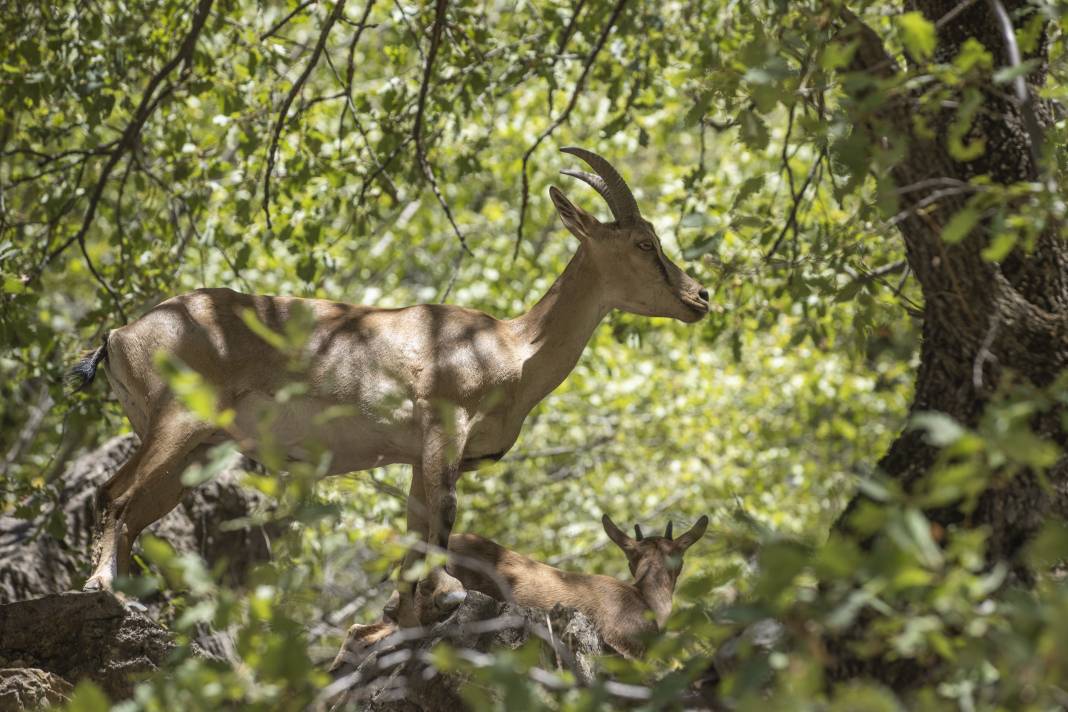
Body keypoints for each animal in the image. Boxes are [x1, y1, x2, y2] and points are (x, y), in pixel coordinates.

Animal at [68, 147, 709, 627]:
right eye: (644, 243)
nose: (699, 297)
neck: (511, 347)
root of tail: (121, 334)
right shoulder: (445, 427)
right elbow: (443, 517)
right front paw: (449, 594)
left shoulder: (417, 455)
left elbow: (416, 531)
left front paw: (409, 611)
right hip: (177, 424)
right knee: (114, 496)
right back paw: (105, 590)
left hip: (193, 453)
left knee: (132, 511)